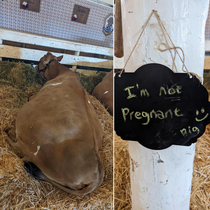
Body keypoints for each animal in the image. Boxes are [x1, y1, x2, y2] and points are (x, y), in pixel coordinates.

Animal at [6, 51, 104, 196]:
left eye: (40, 60)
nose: (34, 66)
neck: (62, 72)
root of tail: (94, 178)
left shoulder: (34, 96)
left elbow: (29, 96)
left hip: (33, 148)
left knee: (20, 150)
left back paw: (6, 133)